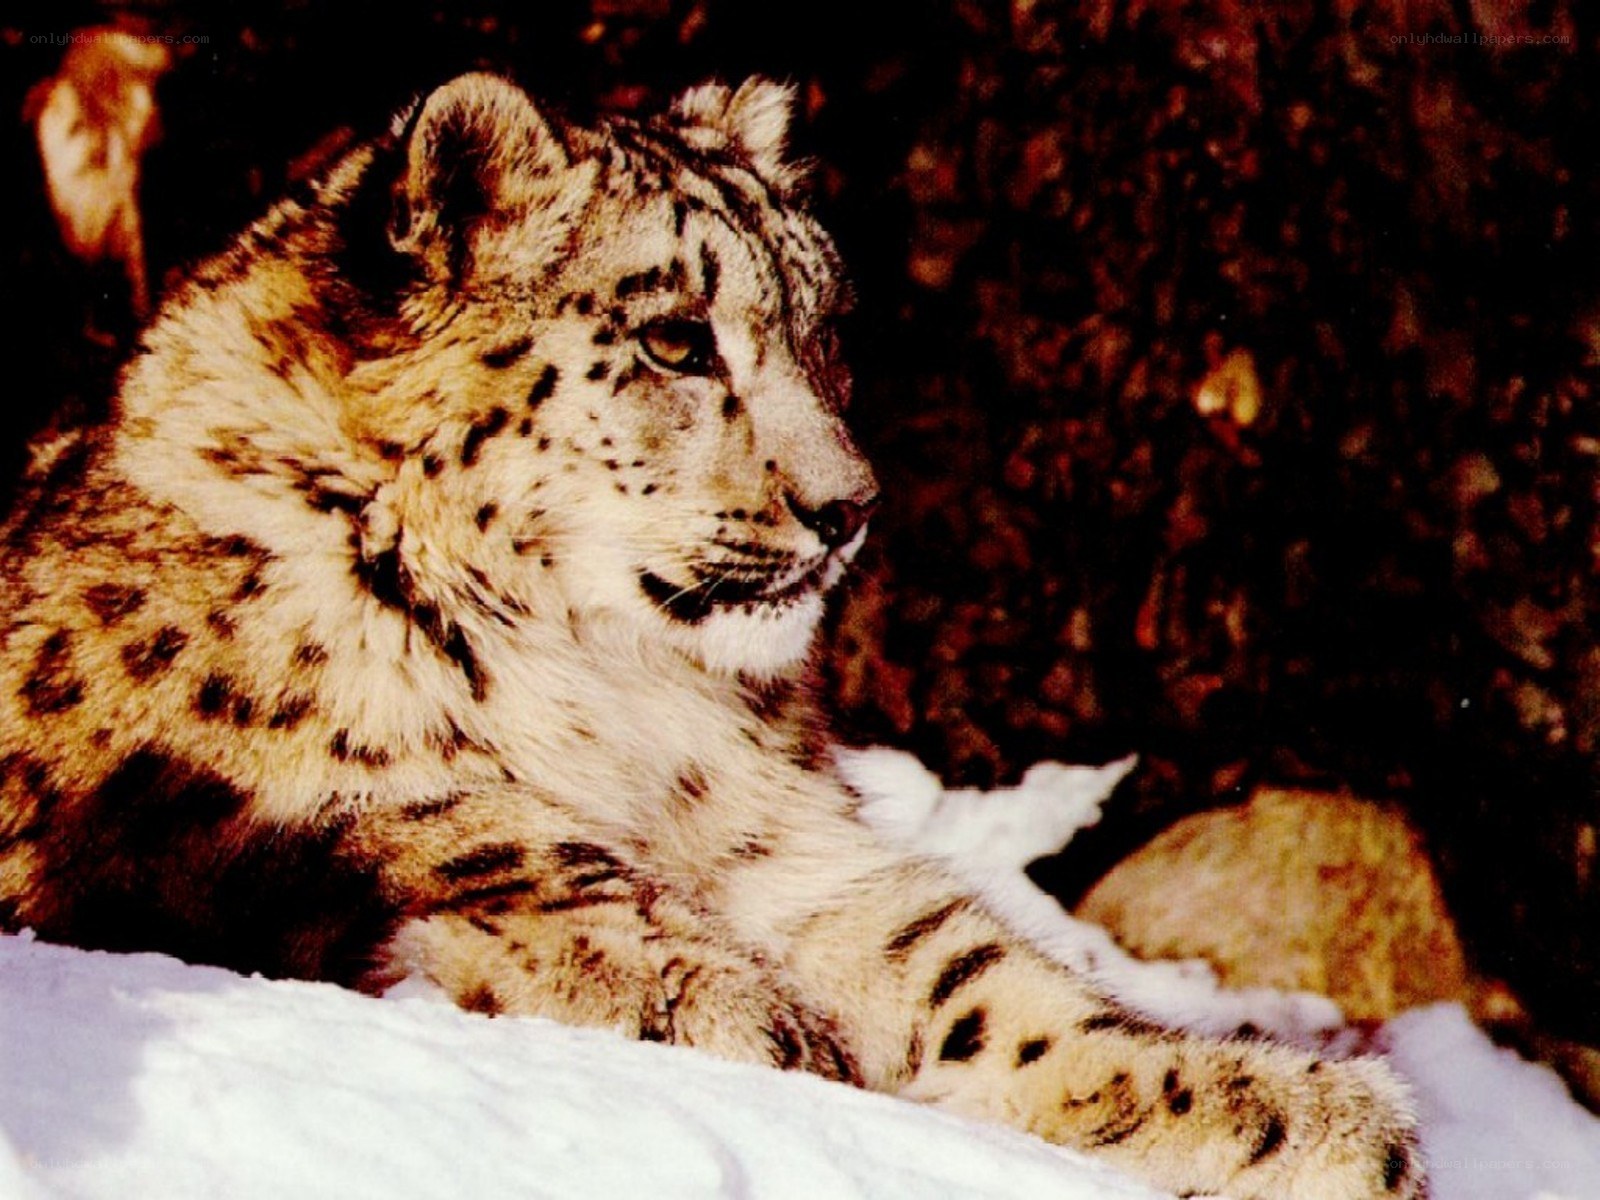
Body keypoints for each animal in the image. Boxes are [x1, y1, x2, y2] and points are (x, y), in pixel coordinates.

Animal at [0, 73, 1424, 1198]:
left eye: (823, 330)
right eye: (676, 339)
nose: (848, 507)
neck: (627, 712)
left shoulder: (805, 865)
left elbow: (976, 983)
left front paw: (1298, 1114)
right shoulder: (344, 808)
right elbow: (502, 862)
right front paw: (755, 1022)